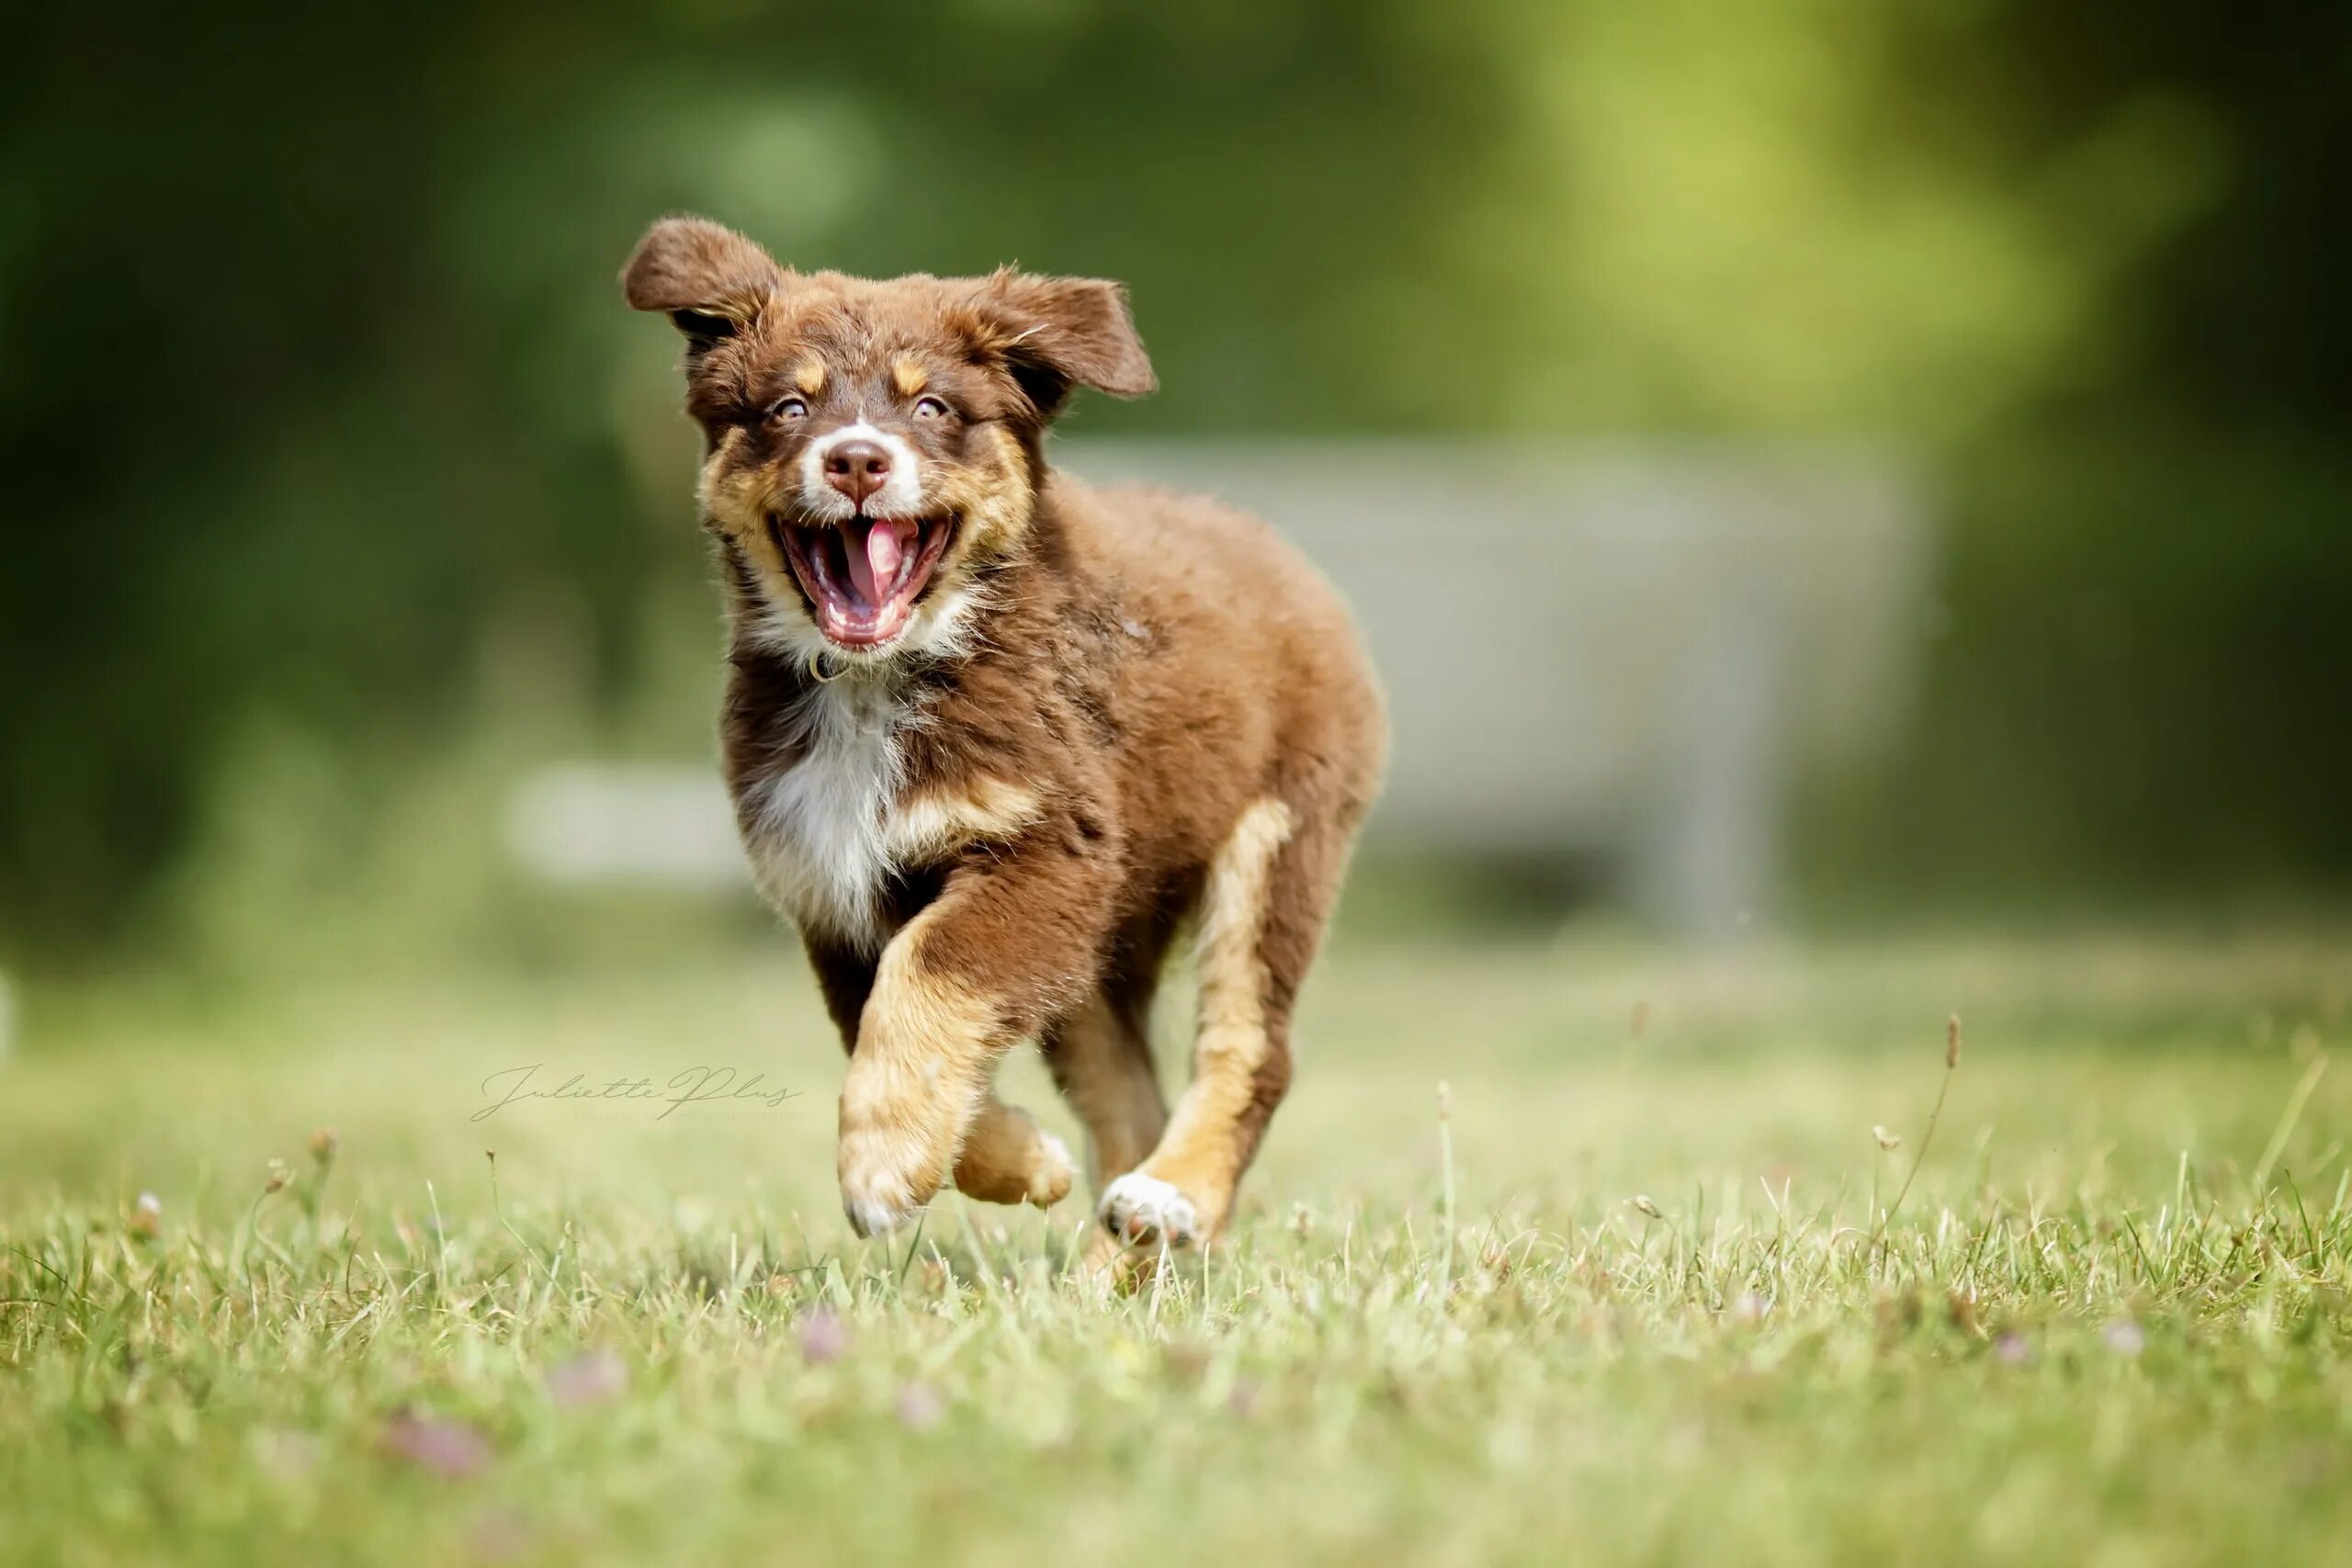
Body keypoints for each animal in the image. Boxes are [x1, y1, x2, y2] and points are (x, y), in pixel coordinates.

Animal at [630, 215, 1392, 1259]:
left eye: (933, 407)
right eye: (790, 406)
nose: (857, 460)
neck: (878, 680)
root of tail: (1277, 550)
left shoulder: (1043, 846)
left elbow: (927, 977)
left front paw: (882, 1164)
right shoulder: (832, 886)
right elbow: (882, 1016)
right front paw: (1012, 1162)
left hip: (1278, 836)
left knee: (1250, 1046)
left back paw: (1174, 1197)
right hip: (1105, 932)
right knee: (1126, 1091)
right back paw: (1121, 1241)